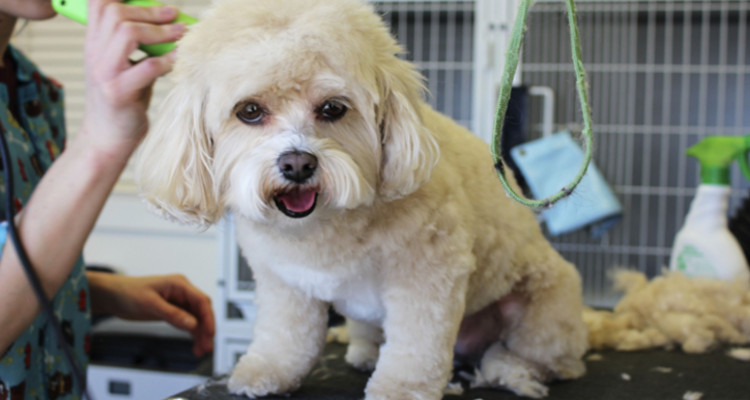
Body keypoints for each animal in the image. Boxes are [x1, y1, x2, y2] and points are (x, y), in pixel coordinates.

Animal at [138, 0, 592, 396]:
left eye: (332, 108)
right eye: (249, 111)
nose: (298, 164)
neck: (322, 226)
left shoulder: (428, 275)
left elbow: (416, 344)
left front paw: (402, 389)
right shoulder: (283, 279)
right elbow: (286, 334)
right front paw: (268, 370)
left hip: (543, 308)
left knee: (551, 360)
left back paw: (510, 369)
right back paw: (366, 350)